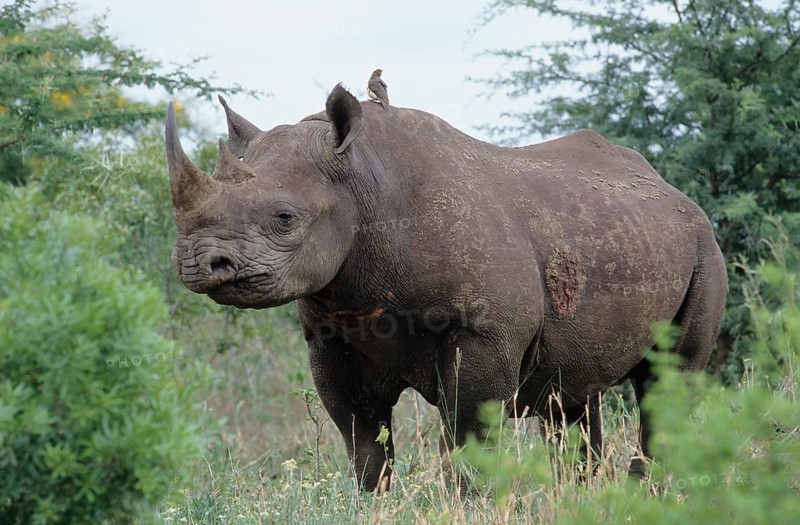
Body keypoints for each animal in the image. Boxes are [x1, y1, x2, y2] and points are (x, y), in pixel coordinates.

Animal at [165, 84, 727, 490]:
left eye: (284, 218)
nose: (197, 263)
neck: (363, 183)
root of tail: (673, 190)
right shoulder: (331, 334)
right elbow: (364, 444)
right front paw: (375, 503)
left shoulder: (483, 332)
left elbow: (468, 438)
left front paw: (469, 503)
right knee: (571, 392)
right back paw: (583, 495)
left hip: (704, 246)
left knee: (670, 381)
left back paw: (646, 493)